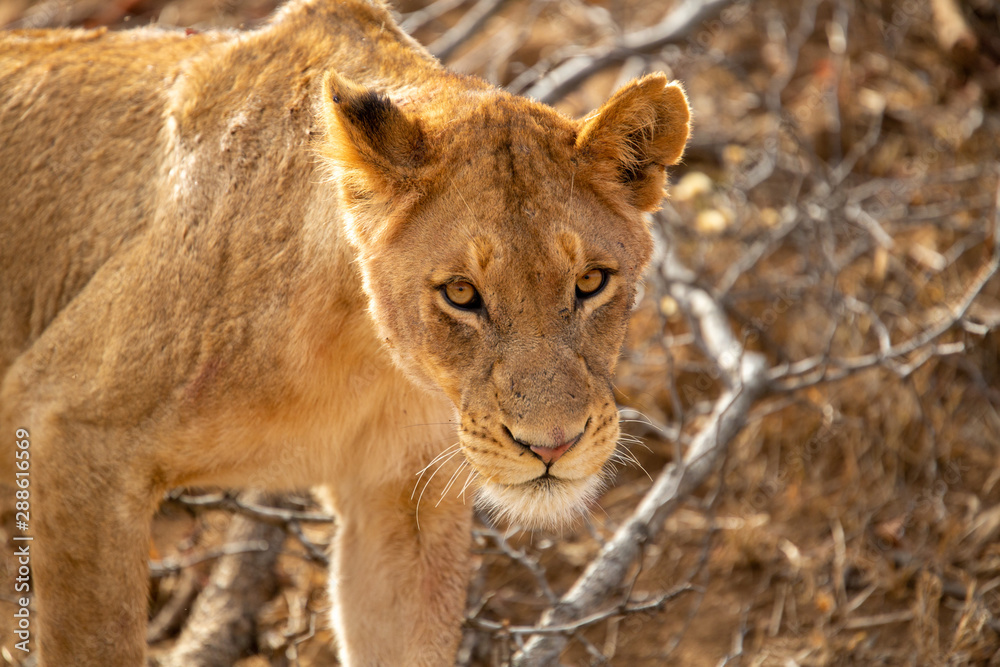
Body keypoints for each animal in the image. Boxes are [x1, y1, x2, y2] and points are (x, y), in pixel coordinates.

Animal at [0, 0, 689, 664]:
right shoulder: (72, 430)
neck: (364, 349)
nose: (553, 447)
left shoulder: (400, 498)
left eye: (591, 282)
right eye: (461, 294)